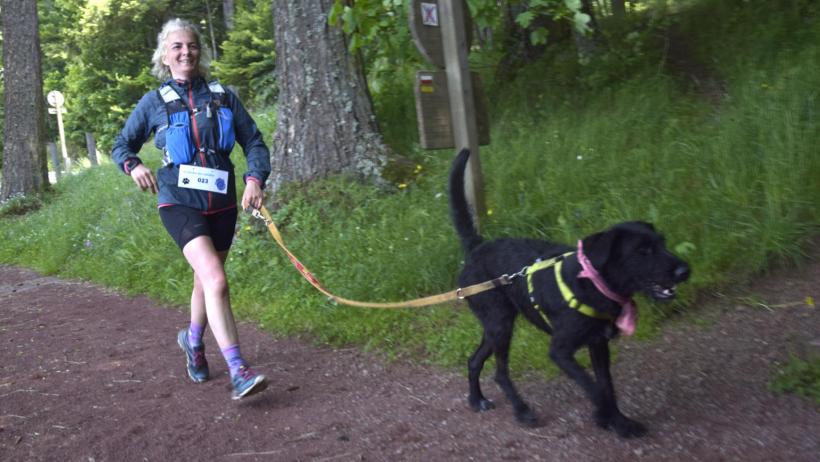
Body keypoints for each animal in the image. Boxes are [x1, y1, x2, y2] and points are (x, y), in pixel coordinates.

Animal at [452, 150, 688, 438]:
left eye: (662, 243)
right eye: (643, 251)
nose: (685, 270)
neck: (592, 283)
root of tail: (476, 248)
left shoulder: (598, 344)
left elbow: (607, 386)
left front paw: (619, 421)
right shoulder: (561, 351)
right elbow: (595, 388)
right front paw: (608, 418)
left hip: (495, 325)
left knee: (474, 360)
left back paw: (476, 399)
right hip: (500, 325)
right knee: (500, 372)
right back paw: (521, 410)